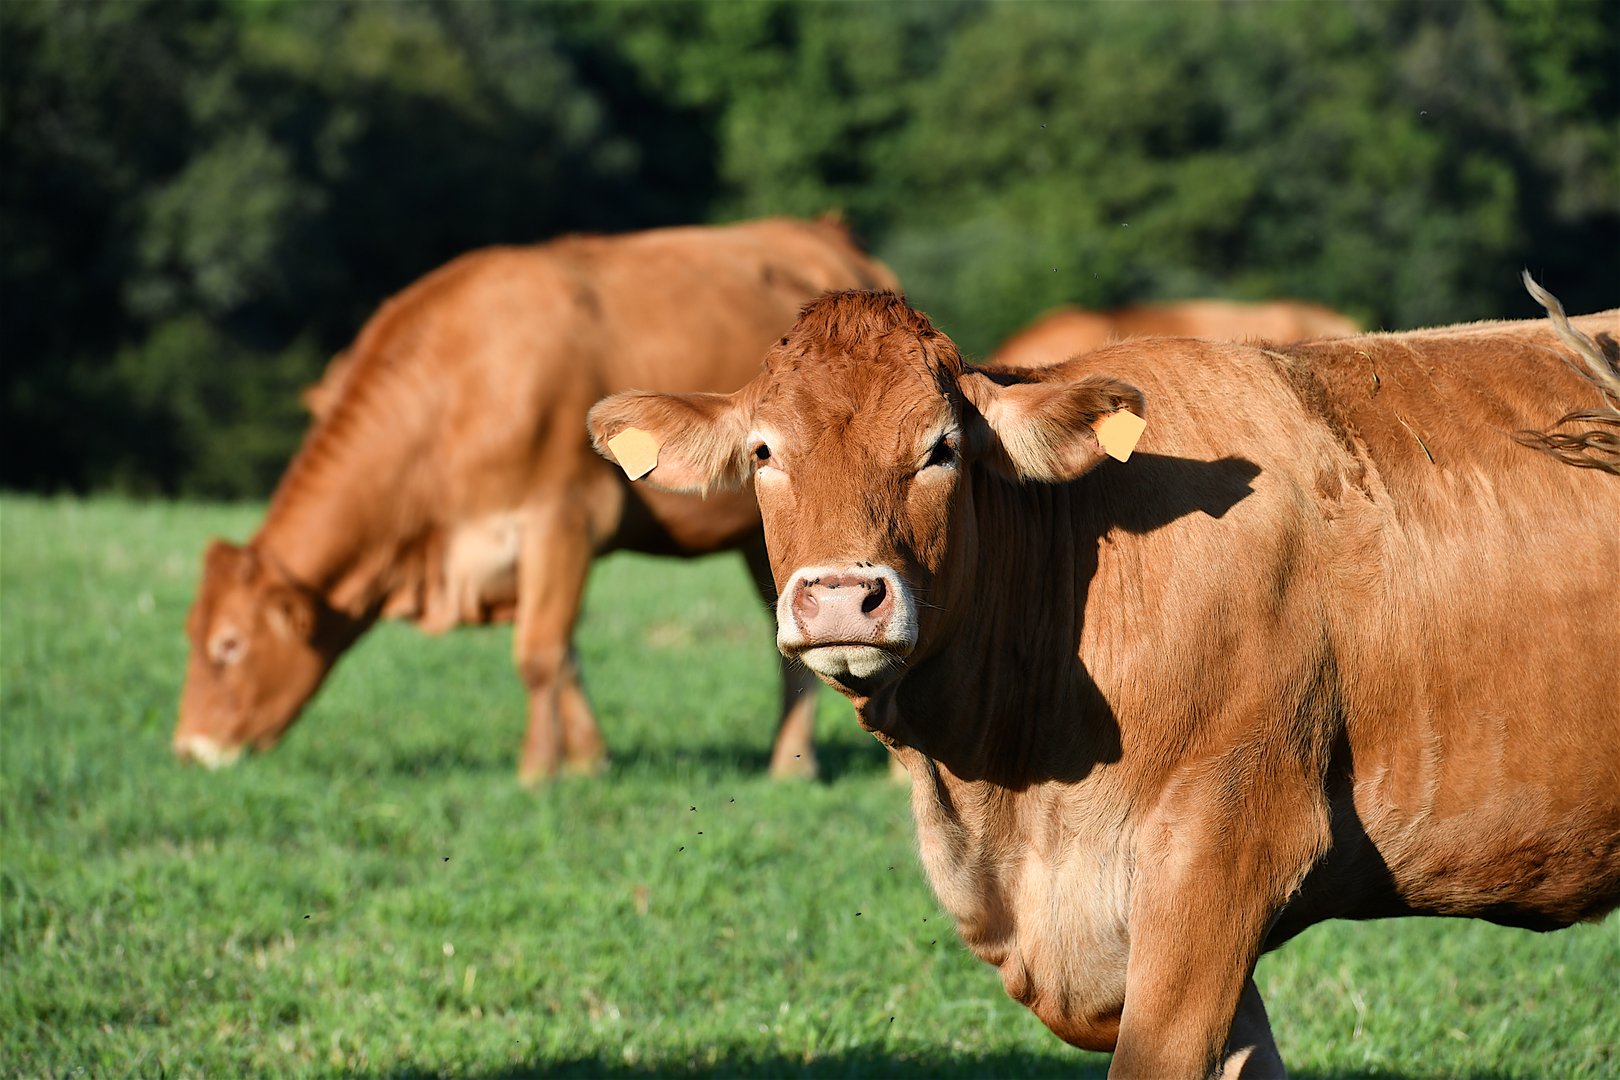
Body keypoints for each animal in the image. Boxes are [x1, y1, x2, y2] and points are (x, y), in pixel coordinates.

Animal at [173, 216, 899, 785]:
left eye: (229, 645)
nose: (187, 750)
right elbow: (566, 653)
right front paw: (587, 761)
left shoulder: (564, 519)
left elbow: (540, 651)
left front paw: (535, 773)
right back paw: (790, 765)